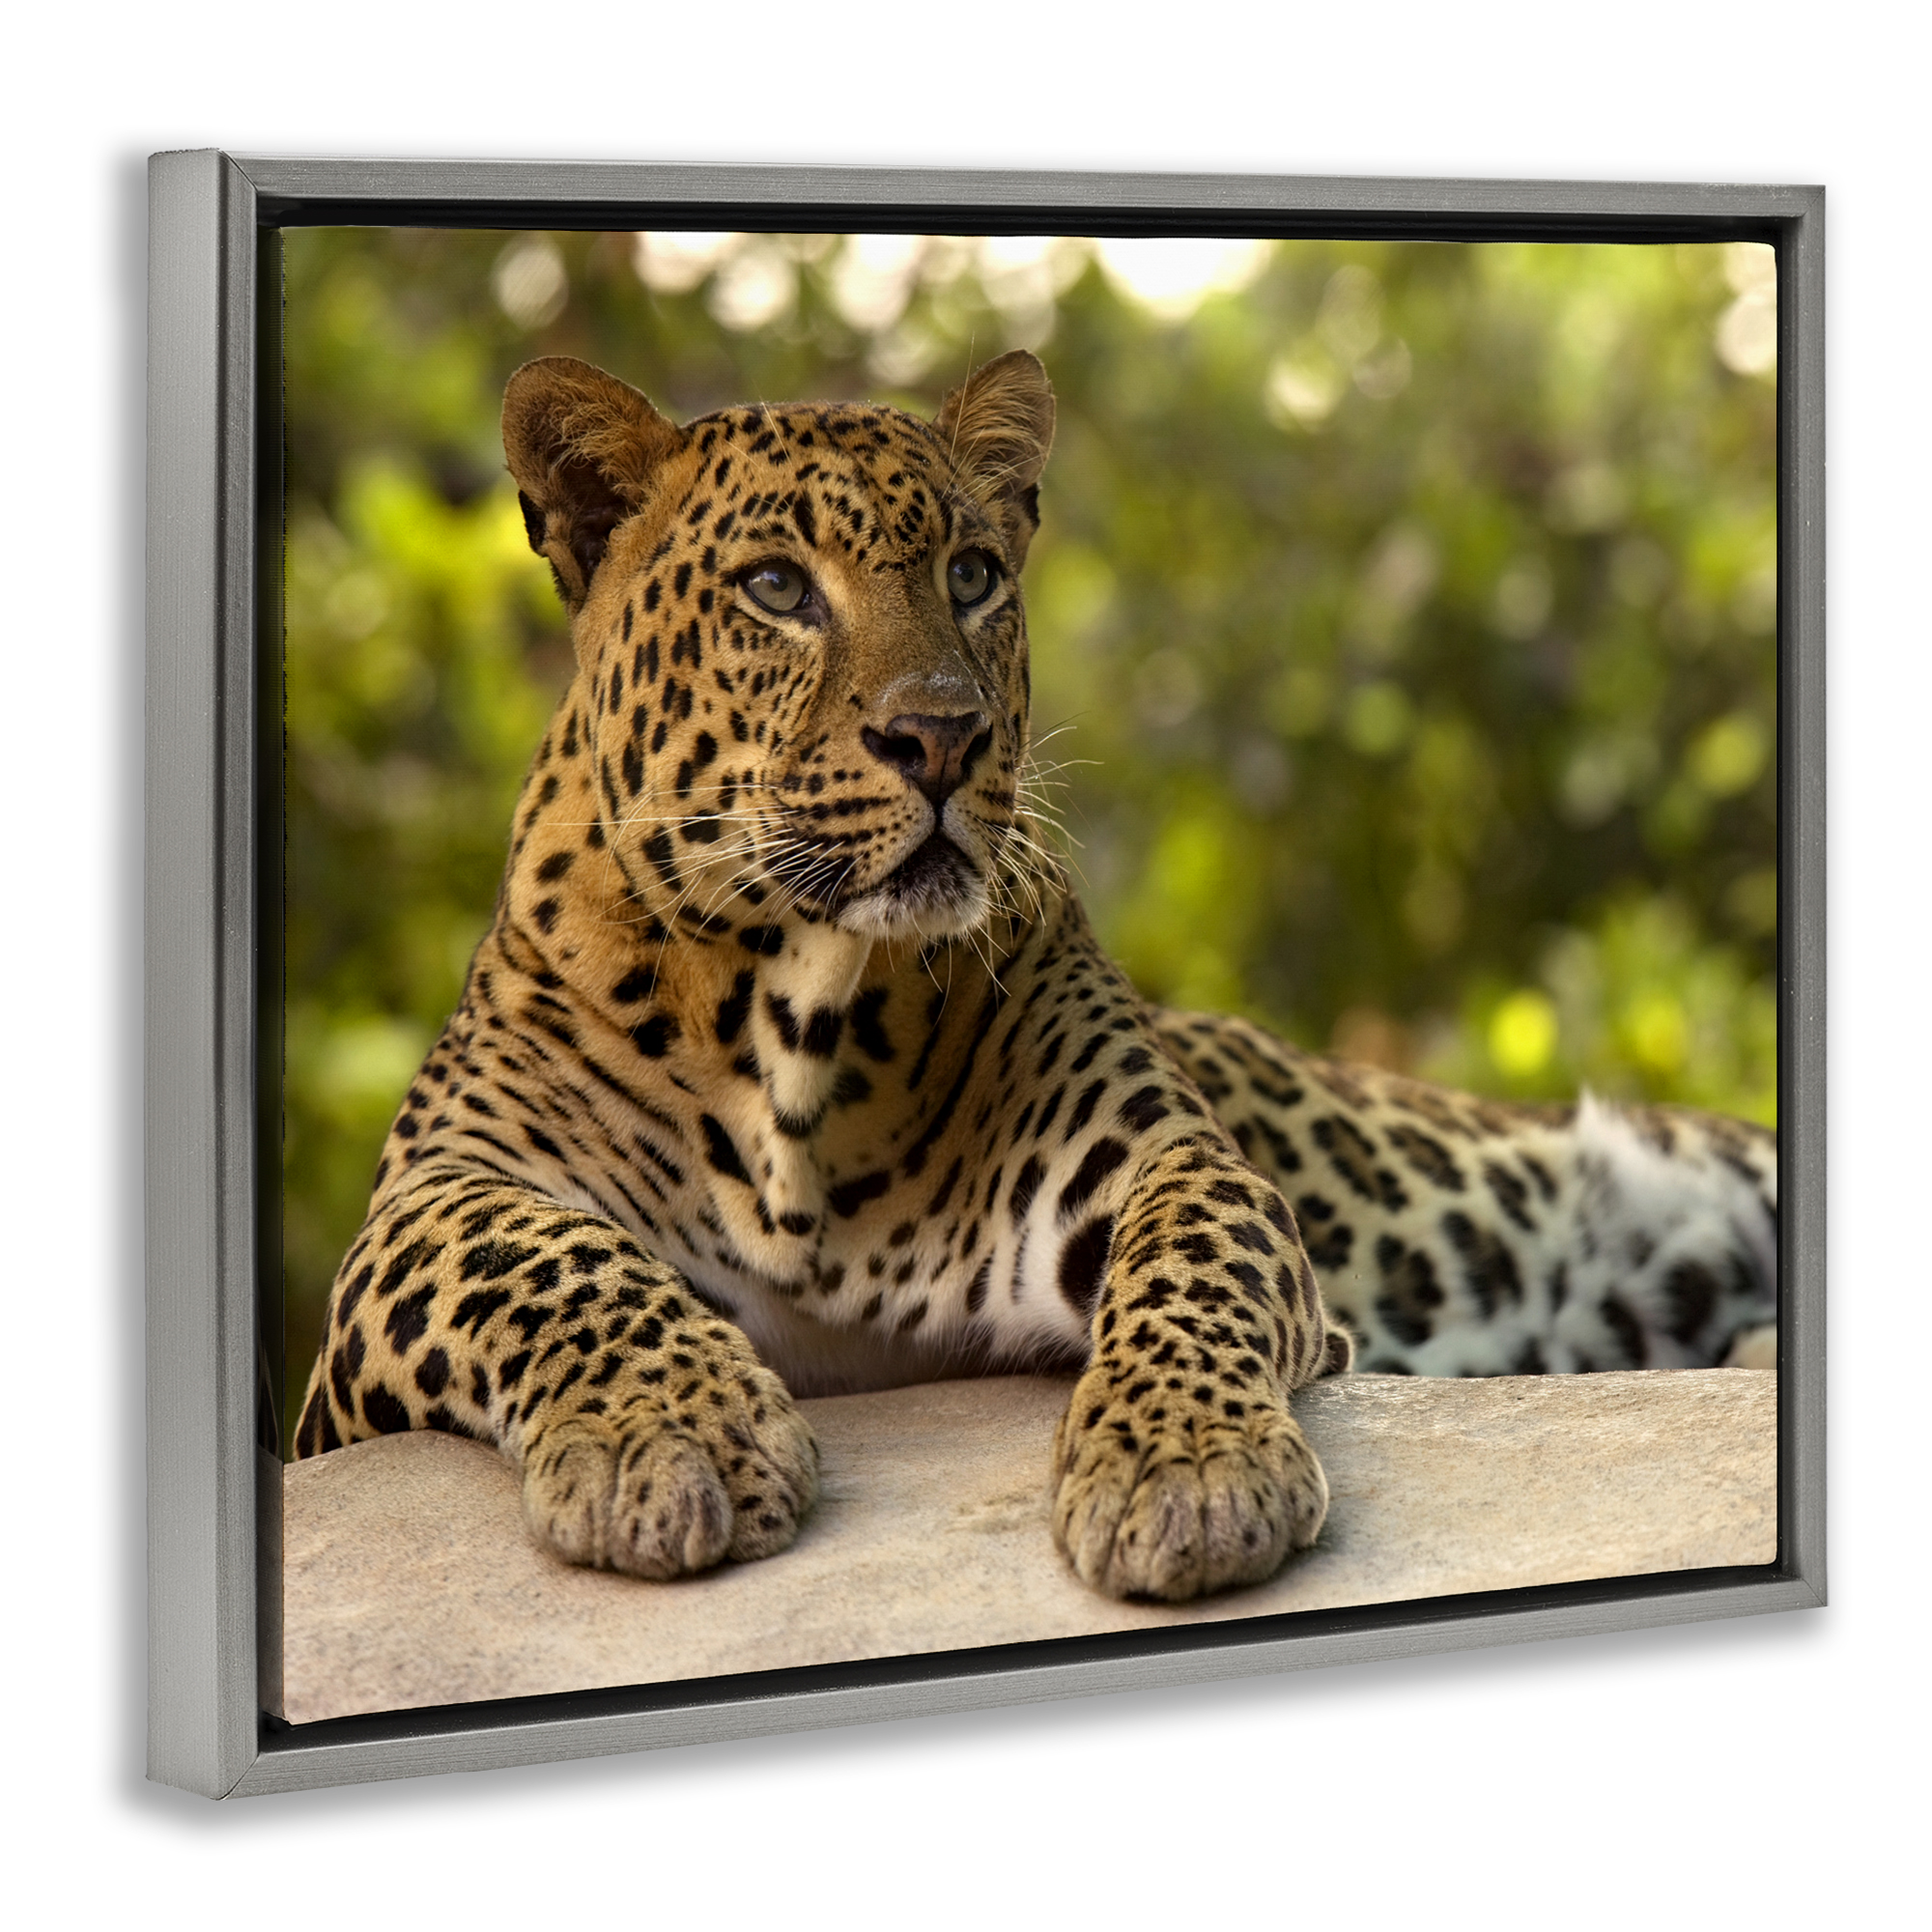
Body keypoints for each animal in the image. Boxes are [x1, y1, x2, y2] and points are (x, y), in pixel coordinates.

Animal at [293, 348, 1778, 1603]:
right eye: (776, 589)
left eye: (970, 574)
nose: (941, 737)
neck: (794, 1011)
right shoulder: (412, 1228)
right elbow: (543, 1257)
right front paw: (672, 1434)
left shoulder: (1152, 1155)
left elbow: (1195, 1258)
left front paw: (1185, 1468)